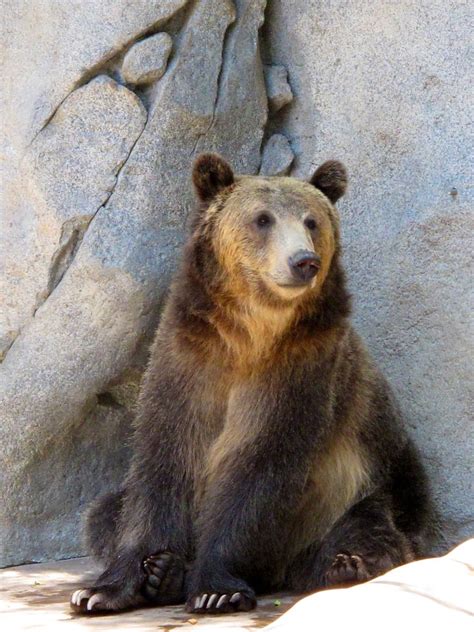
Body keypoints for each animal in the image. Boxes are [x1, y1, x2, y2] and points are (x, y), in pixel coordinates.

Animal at [69, 156, 434, 616]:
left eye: (311, 221)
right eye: (263, 219)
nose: (304, 261)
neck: (249, 333)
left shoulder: (300, 370)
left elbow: (260, 466)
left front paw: (216, 589)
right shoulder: (188, 357)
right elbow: (163, 460)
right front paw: (107, 587)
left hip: (370, 485)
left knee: (372, 529)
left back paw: (343, 565)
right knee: (102, 512)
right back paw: (166, 573)